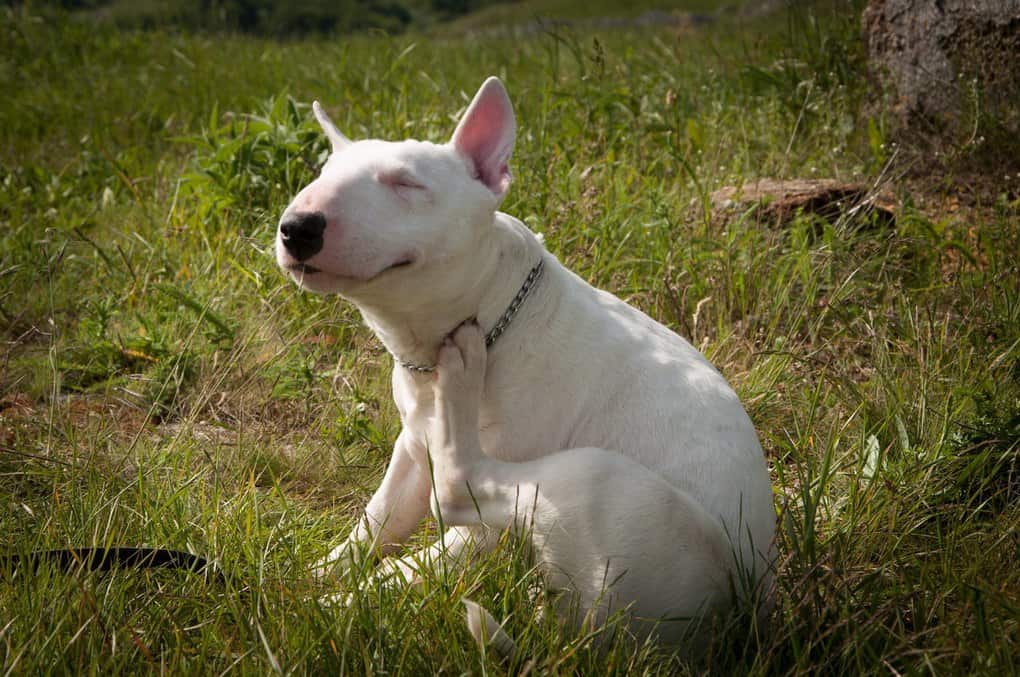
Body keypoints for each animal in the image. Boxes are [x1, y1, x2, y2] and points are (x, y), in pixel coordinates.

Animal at [275, 76, 775, 652]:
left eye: (405, 183)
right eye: (321, 175)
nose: (296, 228)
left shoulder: (485, 526)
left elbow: (415, 565)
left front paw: (331, 607)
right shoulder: (411, 443)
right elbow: (377, 519)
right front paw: (316, 573)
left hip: (601, 482)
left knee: (459, 484)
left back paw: (463, 373)